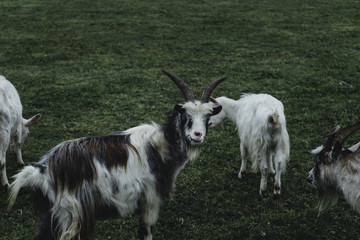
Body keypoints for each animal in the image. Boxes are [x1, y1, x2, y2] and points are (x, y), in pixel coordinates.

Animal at [7, 71, 225, 240]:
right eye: (185, 116)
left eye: (208, 117)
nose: (197, 135)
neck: (159, 146)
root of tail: (40, 170)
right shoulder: (150, 202)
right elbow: (146, 234)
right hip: (70, 214)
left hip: (48, 215)